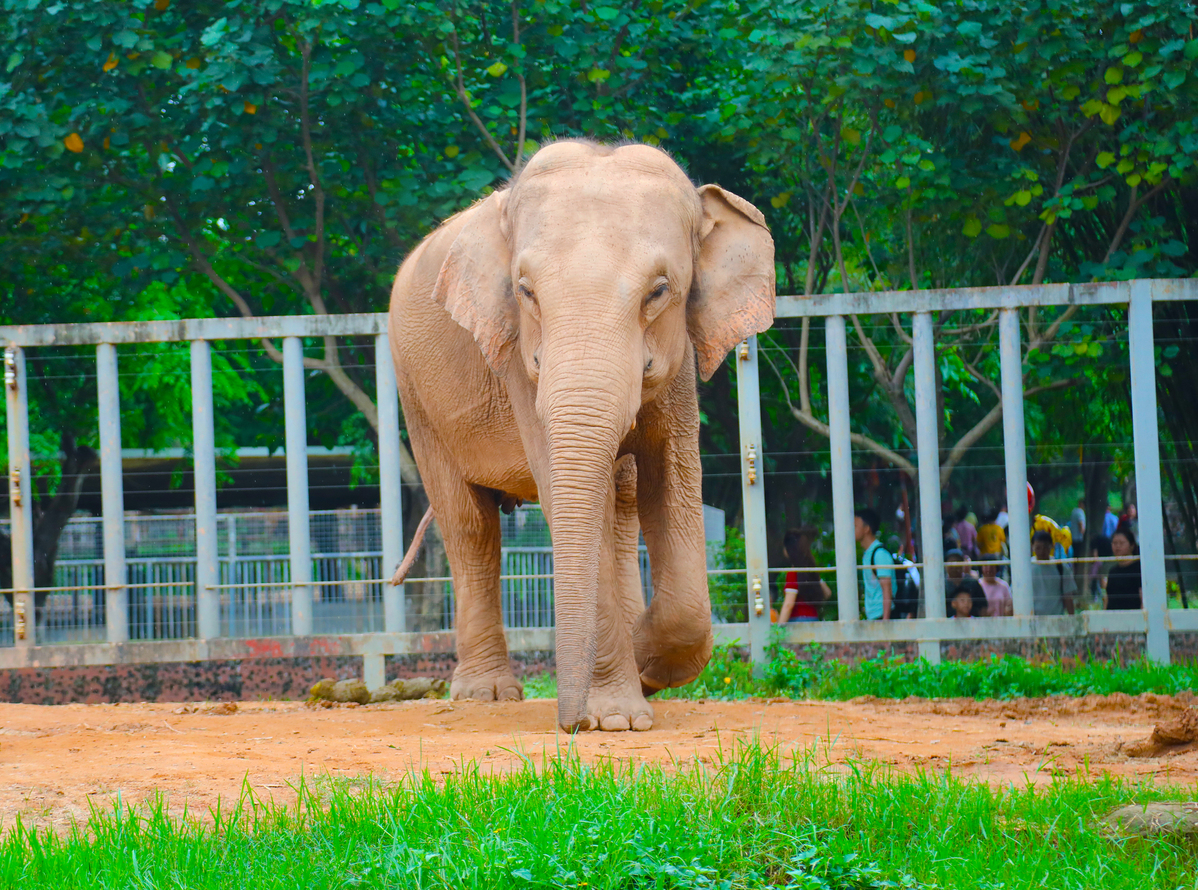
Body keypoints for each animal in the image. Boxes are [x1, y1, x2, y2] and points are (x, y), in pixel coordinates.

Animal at [388, 138, 771, 733]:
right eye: (525, 291)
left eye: (660, 291)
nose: (568, 725)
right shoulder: (516, 356)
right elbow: (565, 491)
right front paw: (615, 718)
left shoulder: (680, 362)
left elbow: (671, 486)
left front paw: (640, 672)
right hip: (418, 397)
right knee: (469, 525)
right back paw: (486, 695)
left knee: (623, 502)